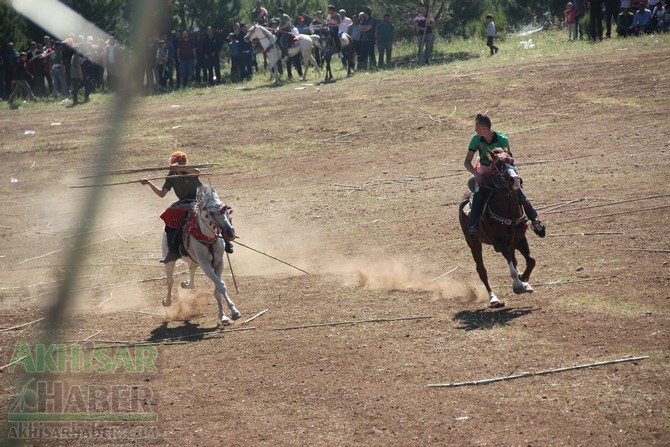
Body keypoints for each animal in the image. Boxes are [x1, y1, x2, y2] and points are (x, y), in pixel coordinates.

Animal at [163, 184, 242, 328]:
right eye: (211, 213)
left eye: (227, 211)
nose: (230, 232)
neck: (208, 238)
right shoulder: (206, 265)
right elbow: (220, 286)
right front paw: (234, 312)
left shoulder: (218, 263)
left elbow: (219, 288)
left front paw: (224, 316)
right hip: (169, 260)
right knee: (170, 280)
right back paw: (167, 301)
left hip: (195, 260)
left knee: (191, 270)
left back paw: (186, 284)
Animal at [456, 155, 536, 308]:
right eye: (498, 165)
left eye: (512, 161)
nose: (515, 179)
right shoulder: (499, 244)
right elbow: (512, 270)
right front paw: (518, 285)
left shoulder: (520, 240)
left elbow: (531, 261)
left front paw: (524, 280)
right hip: (473, 242)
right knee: (482, 270)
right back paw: (493, 298)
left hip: (511, 243)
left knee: (515, 260)